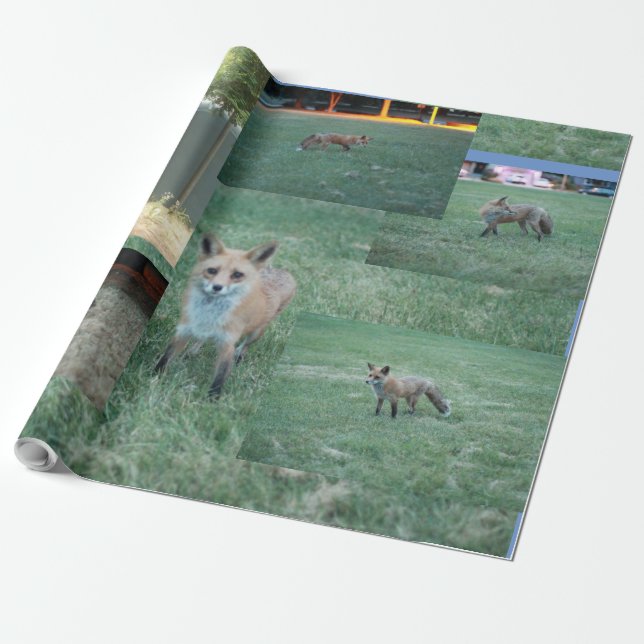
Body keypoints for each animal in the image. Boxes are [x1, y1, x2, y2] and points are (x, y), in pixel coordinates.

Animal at [155, 233, 296, 398]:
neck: (210, 313)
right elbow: (166, 358)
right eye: (211, 271)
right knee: (201, 340)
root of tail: (284, 272)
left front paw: (211, 400)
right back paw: (193, 351)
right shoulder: (184, 330)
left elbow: (219, 378)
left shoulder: (227, 344)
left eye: (237, 275)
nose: (217, 287)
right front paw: (154, 376)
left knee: (245, 345)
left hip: (256, 332)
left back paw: (239, 356)